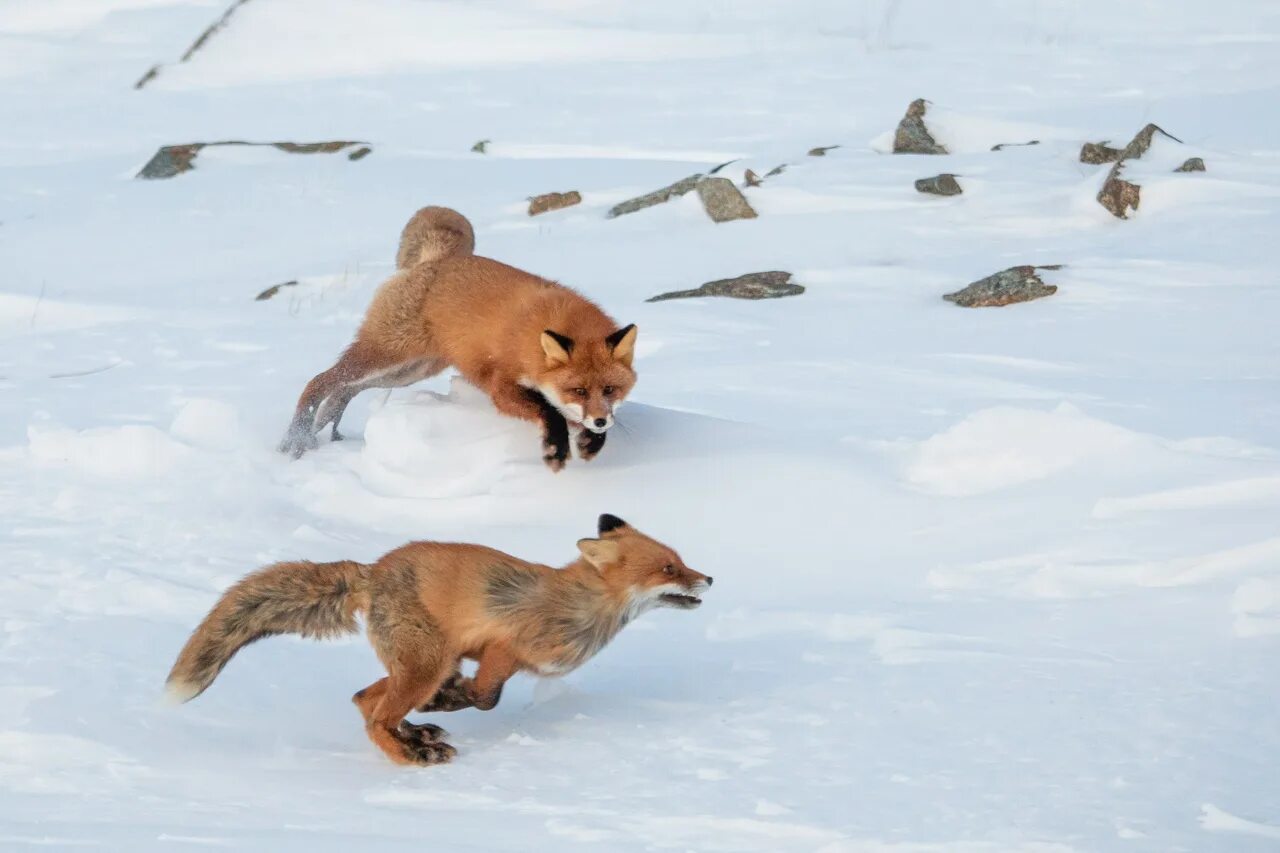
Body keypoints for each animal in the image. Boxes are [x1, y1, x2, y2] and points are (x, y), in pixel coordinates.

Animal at [162, 514, 711, 768]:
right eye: (669, 568)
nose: (708, 579)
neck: (580, 608)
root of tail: (373, 570)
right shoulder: (503, 647)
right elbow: (486, 698)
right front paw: (454, 702)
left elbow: (482, 697)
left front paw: (442, 710)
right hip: (427, 663)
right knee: (375, 714)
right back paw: (410, 752)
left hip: (425, 662)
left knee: (364, 699)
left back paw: (417, 736)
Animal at [281, 206, 640, 471]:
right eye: (578, 390)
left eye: (610, 389)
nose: (600, 421)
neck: (535, 339)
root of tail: (440, 257)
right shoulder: (500, 385)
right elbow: (549, 412)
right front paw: (558, 447)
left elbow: (566, 415)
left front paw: (591, 440)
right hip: (386, 353)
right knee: (321, 381)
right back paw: (297, 436)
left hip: (411, 370)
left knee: (346, 388)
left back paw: (326, 422)